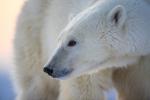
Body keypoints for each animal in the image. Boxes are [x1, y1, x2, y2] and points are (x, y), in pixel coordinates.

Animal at [14, 0, 150, 100]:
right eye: (59, 39)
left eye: (72, 42)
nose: (48, 68)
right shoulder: (87, 73)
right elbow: (83, 92)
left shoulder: (143, 62)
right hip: (35, 34)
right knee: (38, 86)